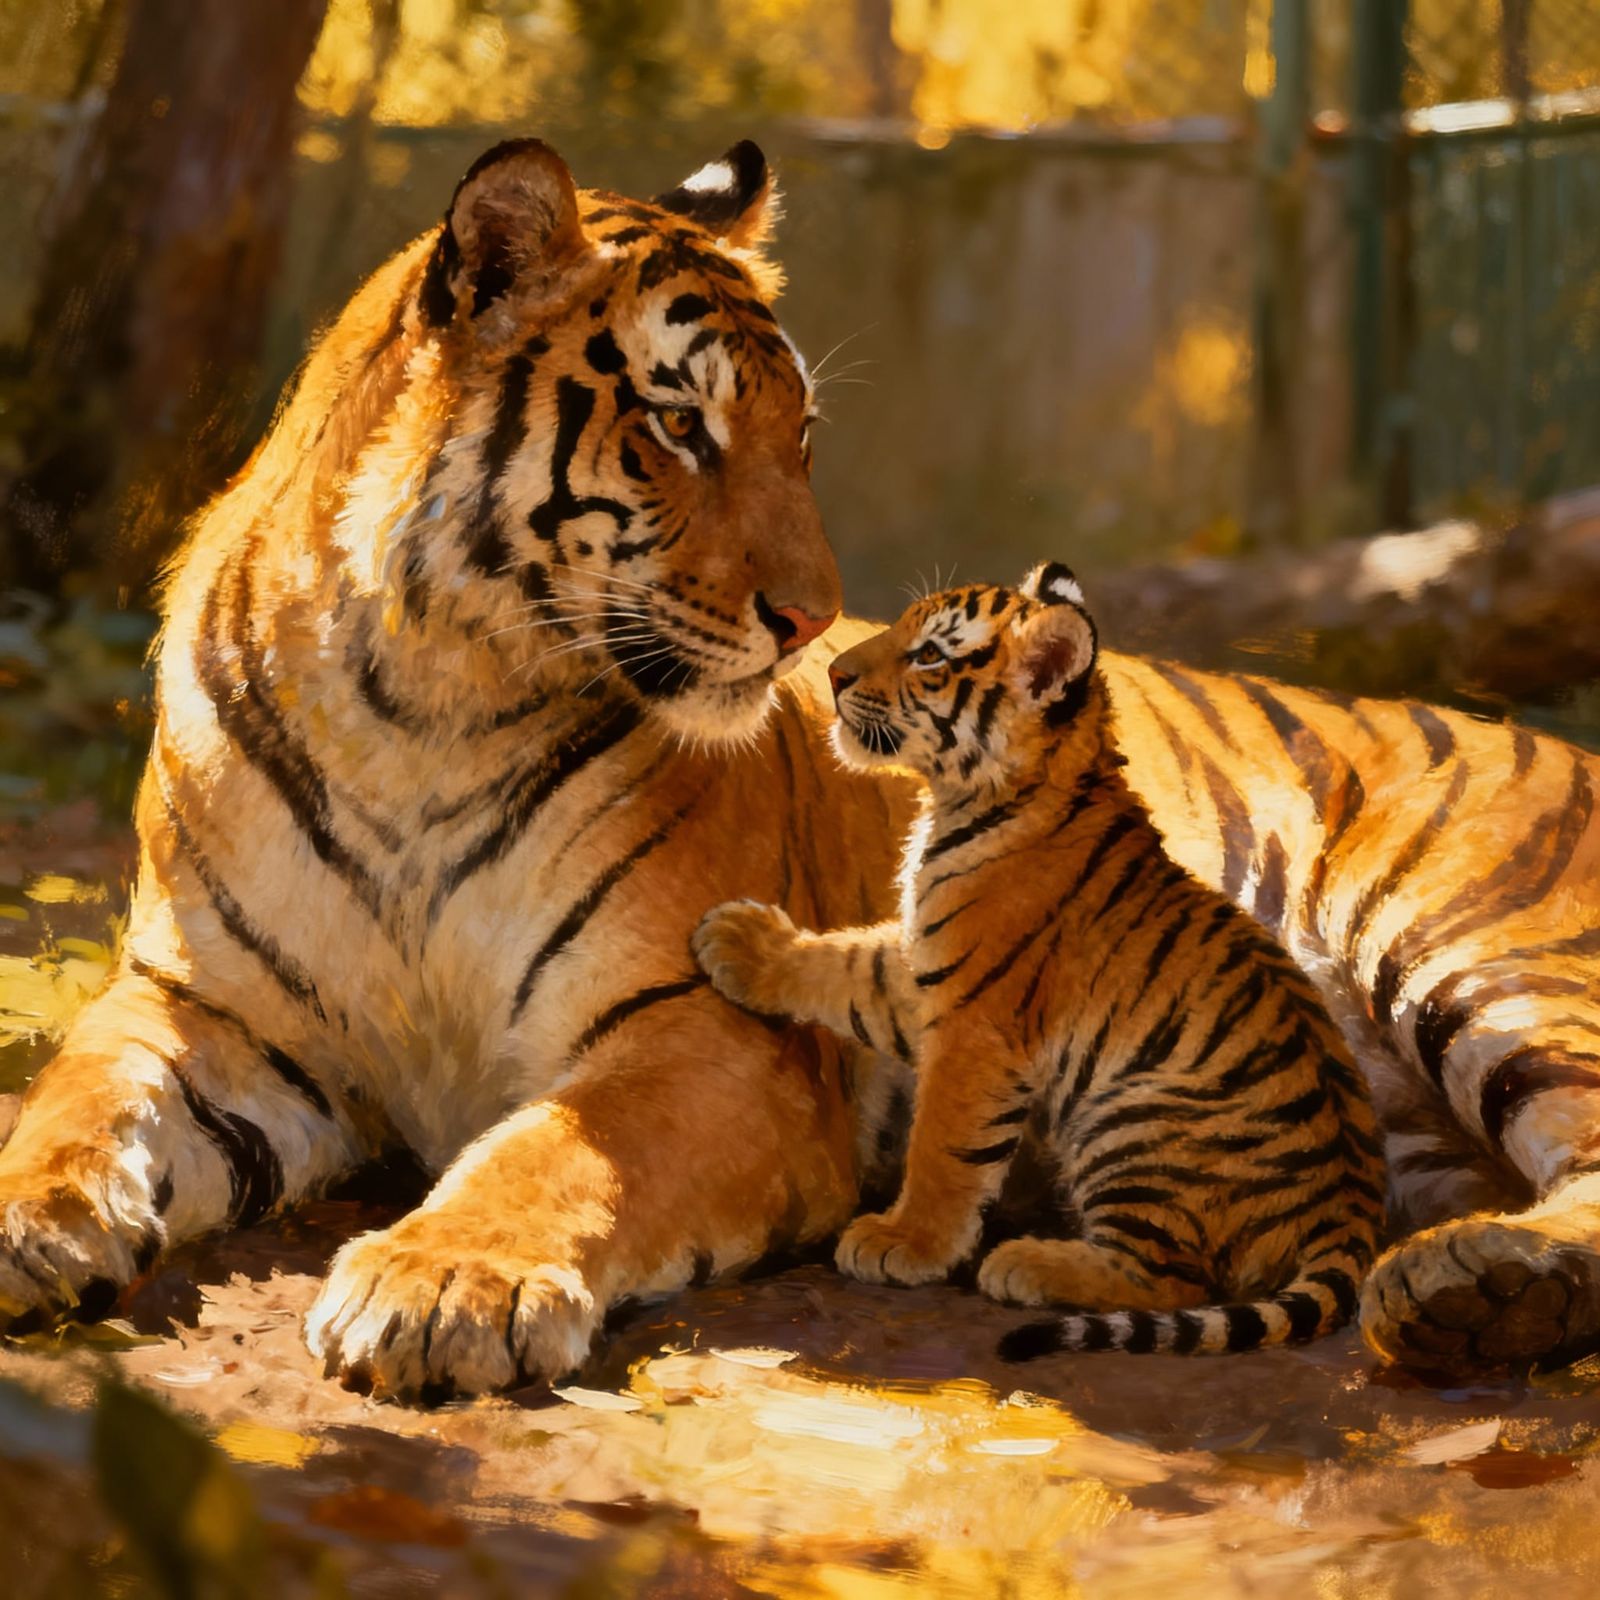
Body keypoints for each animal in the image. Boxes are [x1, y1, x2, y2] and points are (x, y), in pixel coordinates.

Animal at [693, 564, 1386, 1354]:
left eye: (930, 656)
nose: (834, 673)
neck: (972, 798)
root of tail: (1352, 1218)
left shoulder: (976, 1023)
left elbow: (942, 1148)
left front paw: (905, 1243)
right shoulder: (925, 970)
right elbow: (846, 965)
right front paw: (738, 941)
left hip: (1134, 1117)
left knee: (1175, 1279)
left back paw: (1026, 1262)